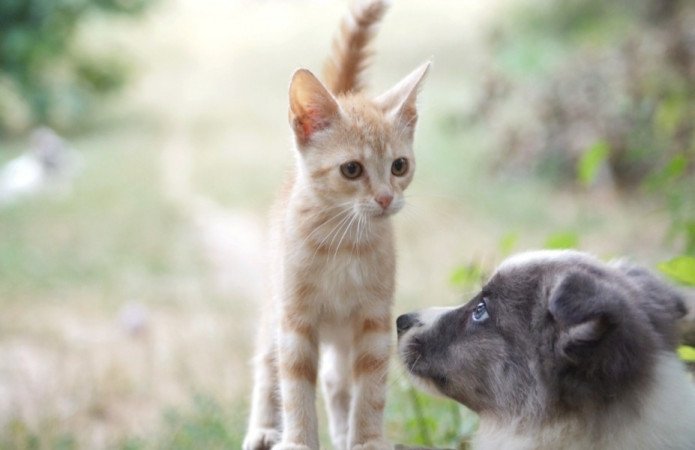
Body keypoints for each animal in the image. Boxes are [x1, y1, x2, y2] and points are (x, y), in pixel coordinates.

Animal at [245, 1, 430, 448]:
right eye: (351, 169)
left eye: (399, 166)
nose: (386, 198)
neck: (343, 243)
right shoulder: (295, 320)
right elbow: (294, 384)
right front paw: (297, 439)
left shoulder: (374, 322)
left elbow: (371, 389)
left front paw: (366, 440)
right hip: (273, 306)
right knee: (266, 362)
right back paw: (262, 428)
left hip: (344, 338)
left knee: (336, 381)